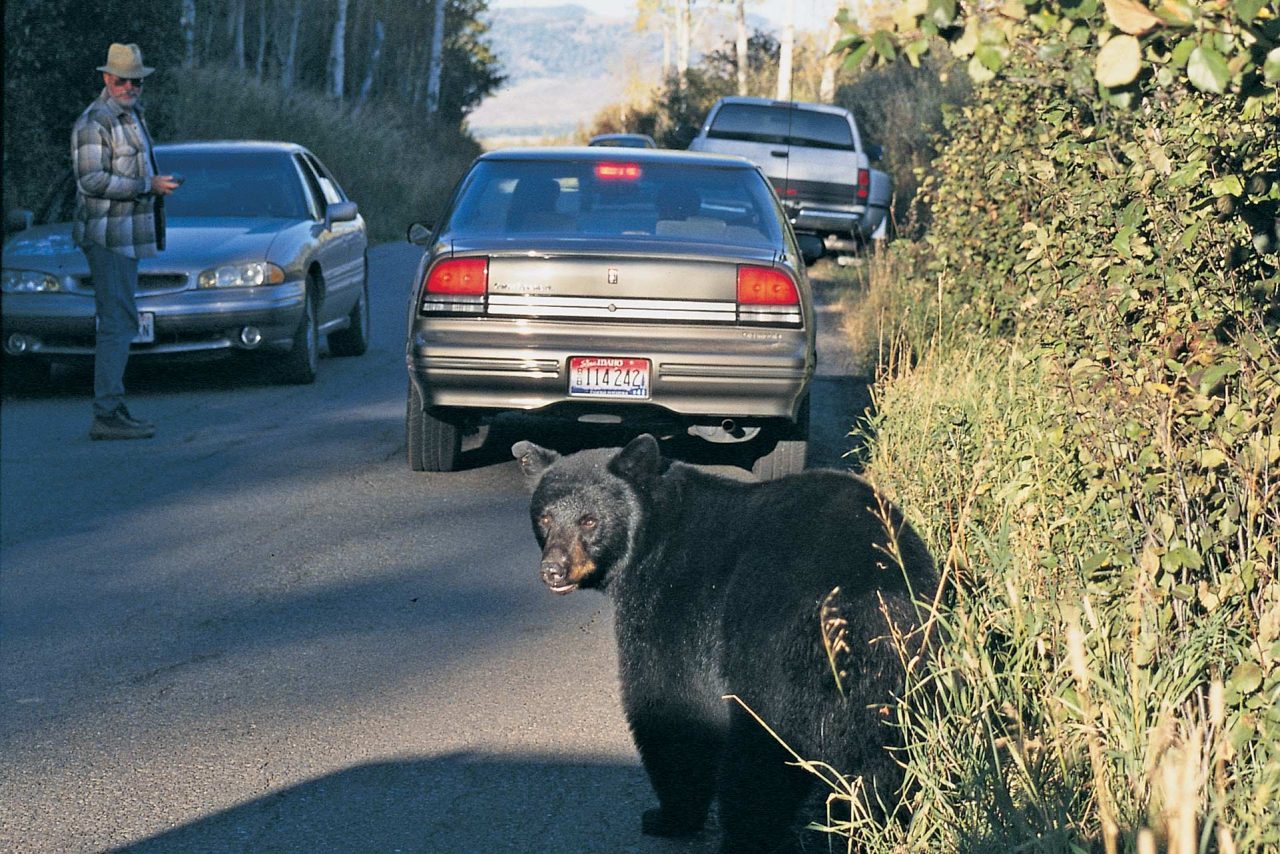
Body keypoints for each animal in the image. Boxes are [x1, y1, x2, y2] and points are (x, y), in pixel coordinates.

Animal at [512, 434, 939, 854]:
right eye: (545, 517)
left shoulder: (675, 599)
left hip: (774, 660)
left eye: (589, 520)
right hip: (904, 686)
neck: (654, 536)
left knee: (757, 770)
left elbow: (671, 705)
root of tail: (863, 604)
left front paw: (667, 817)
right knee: (884, 767)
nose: (553, 570)